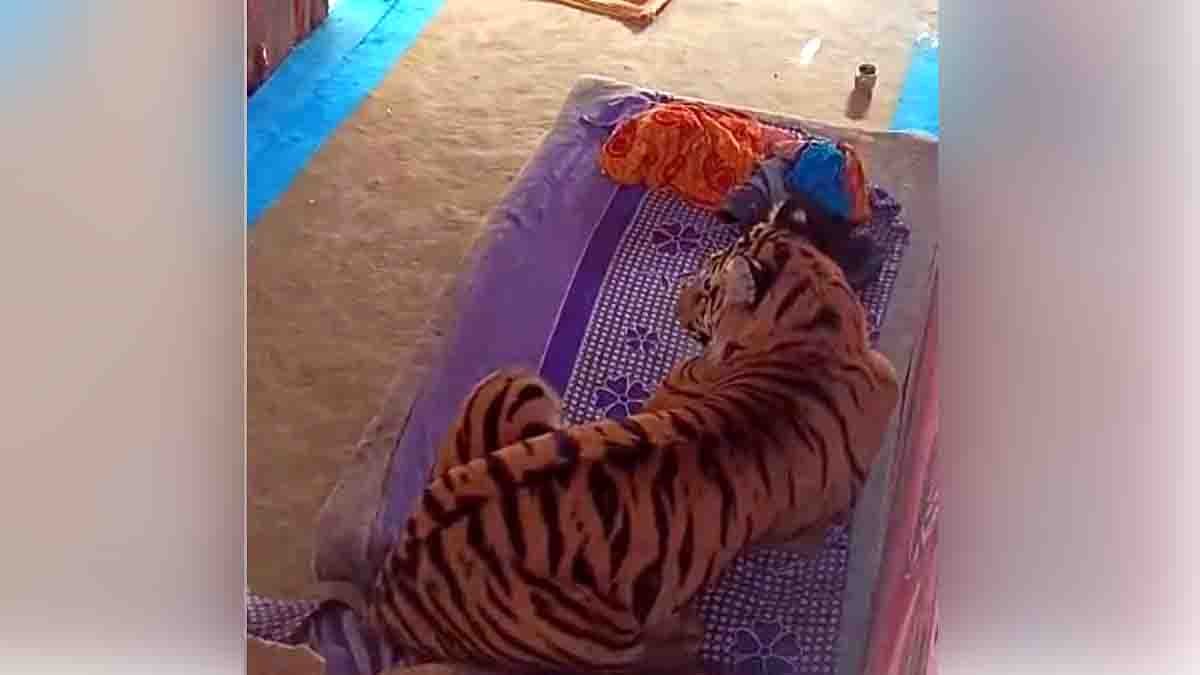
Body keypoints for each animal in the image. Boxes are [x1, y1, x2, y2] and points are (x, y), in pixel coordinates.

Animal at [329, 221, 901, 675]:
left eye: (706, 289)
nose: (677, 304)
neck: (812, 328)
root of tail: (388, 593)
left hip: (511, 385)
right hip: (599, 634)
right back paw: (686, 636)